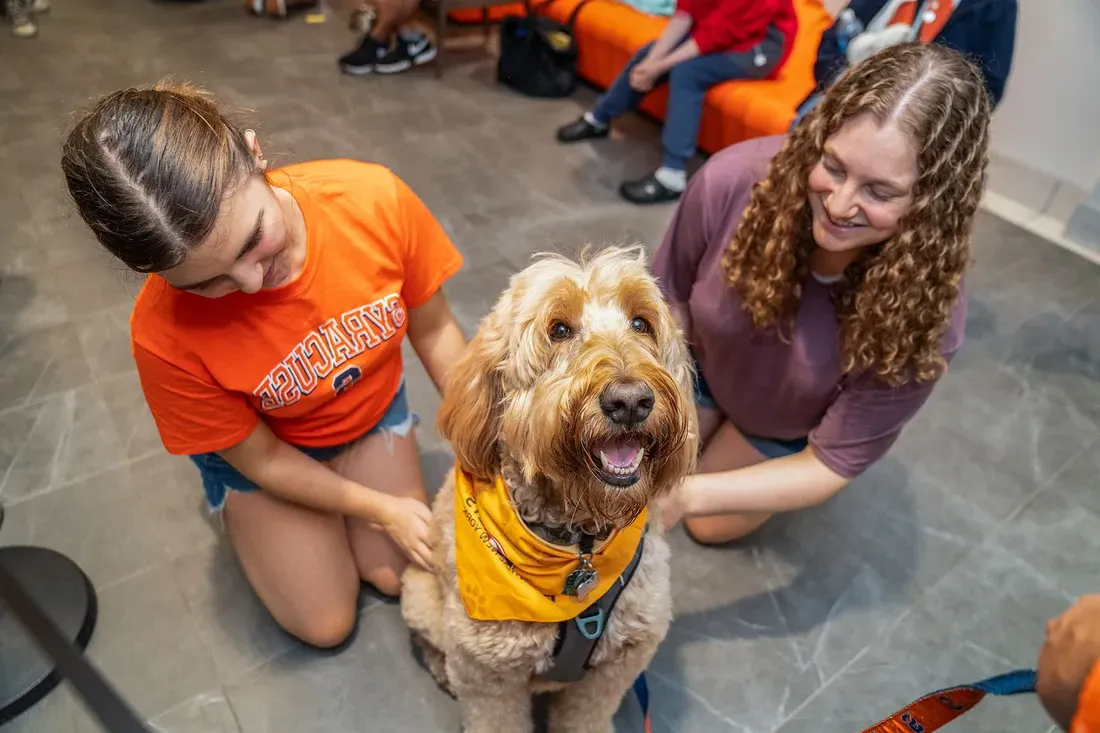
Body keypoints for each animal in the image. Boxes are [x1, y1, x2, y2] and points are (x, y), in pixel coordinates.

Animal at [402, 245, 695, 730]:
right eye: (558, 330)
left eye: (641, 323)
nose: (631, 401)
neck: (579, 547)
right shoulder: (488, 677)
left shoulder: (618, 664)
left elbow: (585, 717)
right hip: (420, 596)